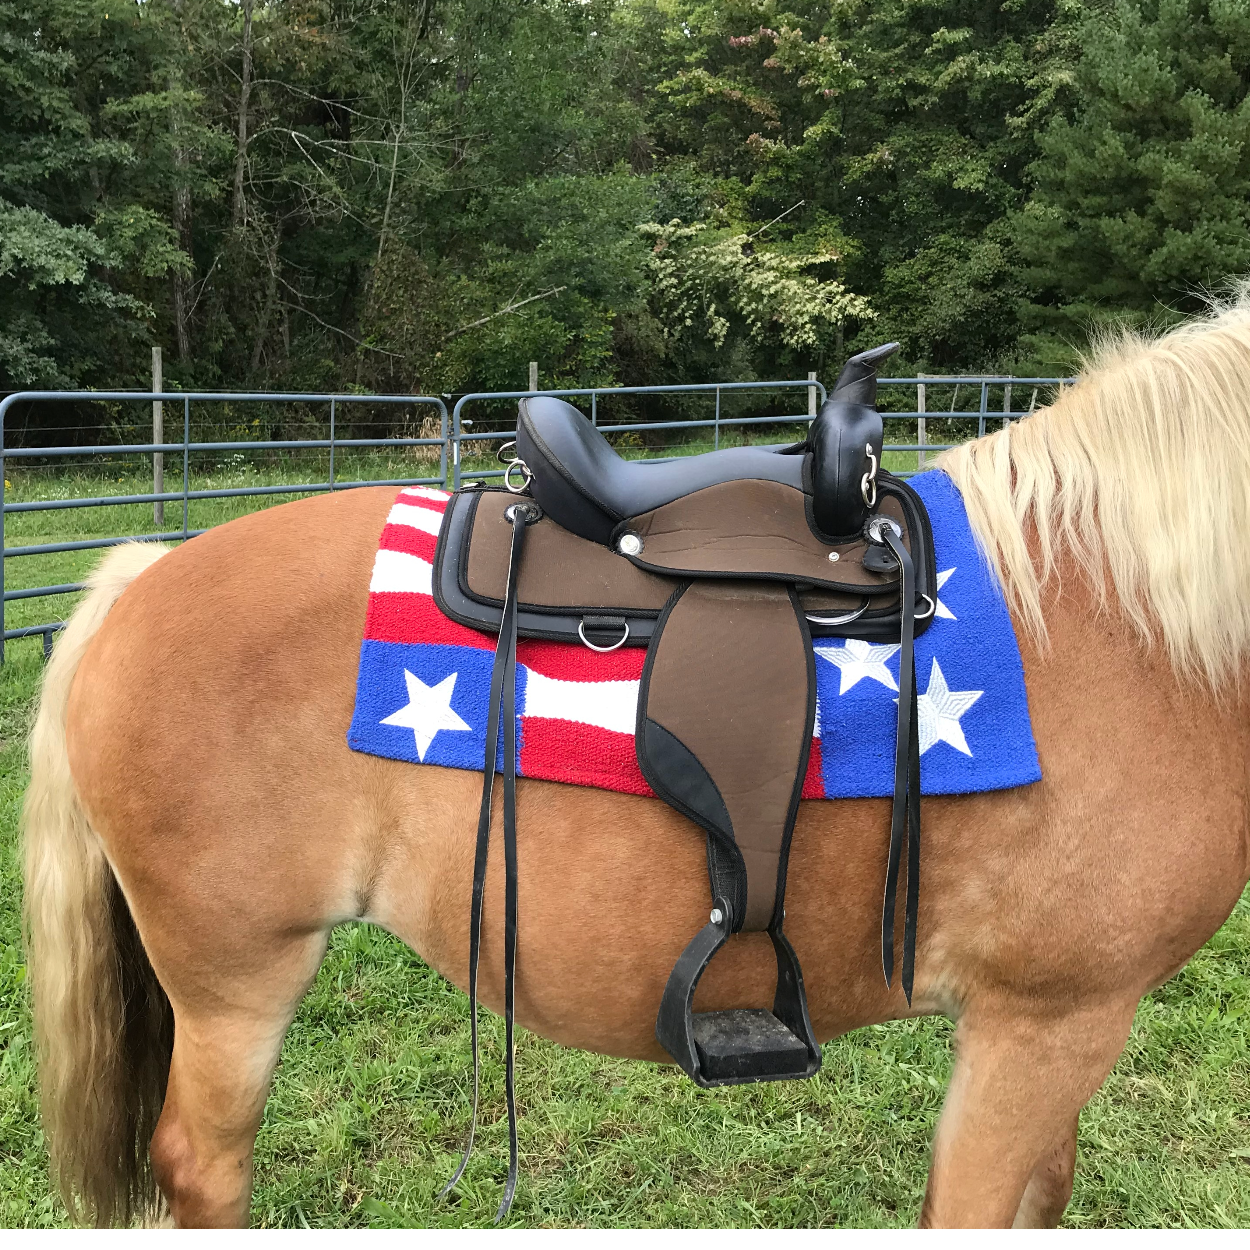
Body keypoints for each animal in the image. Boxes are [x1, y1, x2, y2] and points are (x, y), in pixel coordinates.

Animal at [19, 307, 1250, 1225]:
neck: (1128, 613)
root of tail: (137, 578)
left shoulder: (1054, 1035)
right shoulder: (1043, 1024)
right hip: (234, 979)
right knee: (203, 1167)